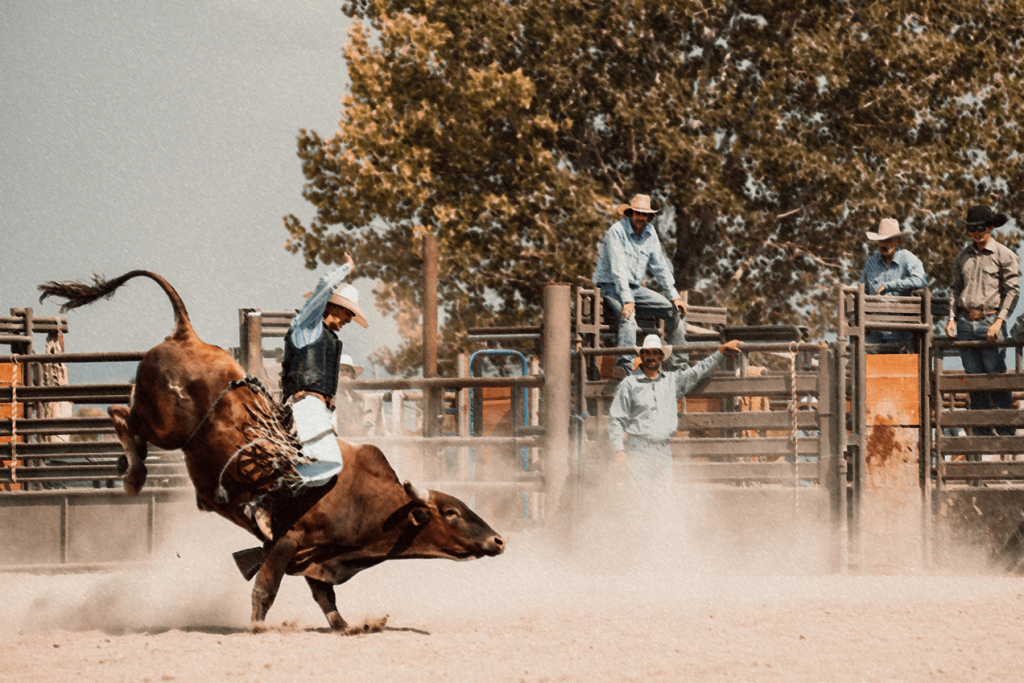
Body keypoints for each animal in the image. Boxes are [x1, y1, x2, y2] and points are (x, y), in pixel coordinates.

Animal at [38, 270, 503, 634]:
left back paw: (126, 468)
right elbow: (266, 587)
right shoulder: (288, 541)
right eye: (452, 512)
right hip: (165, 425)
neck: (367, 501)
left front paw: (351, 626)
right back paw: (133, 474)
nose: (498, 539)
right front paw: (259, 627)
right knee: (120, 415)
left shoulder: (316, 557)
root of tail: (187, 335)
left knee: (123, 416)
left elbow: (325, 598)